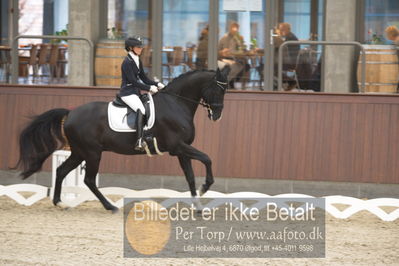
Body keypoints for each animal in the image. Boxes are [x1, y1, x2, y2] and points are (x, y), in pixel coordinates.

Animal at [17, 68, 230, 212]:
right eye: (218, 90)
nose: (217, 116)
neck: (175, 103)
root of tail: (70, 113)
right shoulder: (178, 146)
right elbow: (207, 158)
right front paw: (205, 187)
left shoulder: (181, 150)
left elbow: (190, 177)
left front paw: (198, 205)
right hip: (92, 153)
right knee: (89, 179)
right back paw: (110, 206)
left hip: (79, 152)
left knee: (62, 171)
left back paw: (60, 202)